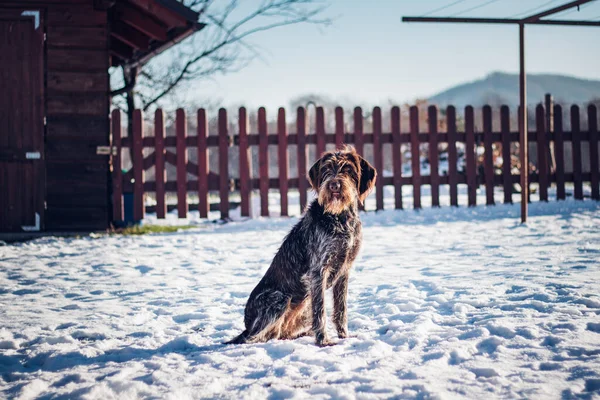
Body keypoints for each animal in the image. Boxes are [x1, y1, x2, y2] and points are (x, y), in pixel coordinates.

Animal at [225, 145, 376, 346]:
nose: (334, 185)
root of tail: (247, 326)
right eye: (326, 169)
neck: (341, 218)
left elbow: (341, 309)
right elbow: (320, 311)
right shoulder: (318, 271)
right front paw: (324, 341)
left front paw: (344, 335)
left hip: (302, 309)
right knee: (255, 337)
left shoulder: (344, 271)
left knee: (280, 333)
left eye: (348, 169)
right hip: (279, 298)